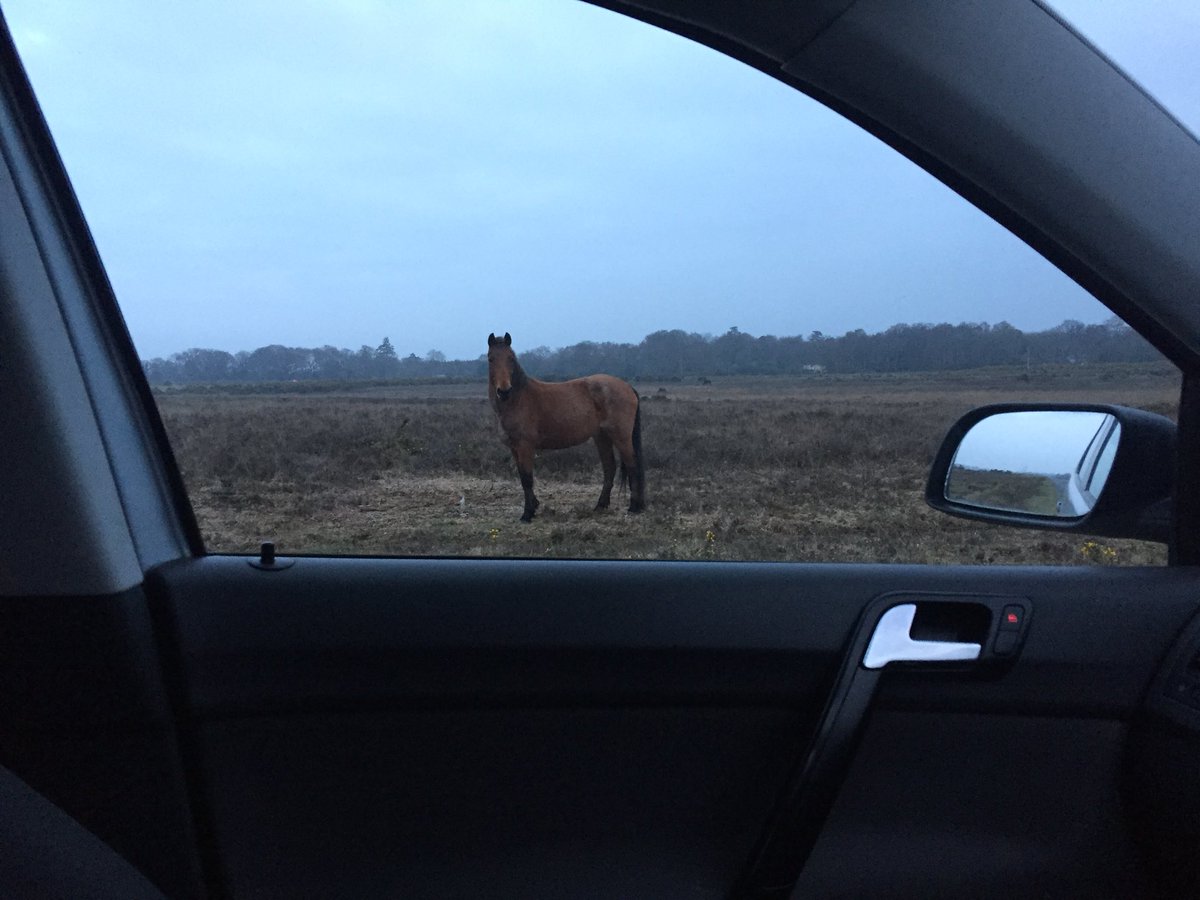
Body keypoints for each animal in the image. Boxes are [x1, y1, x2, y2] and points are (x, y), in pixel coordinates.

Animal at [487, 332, 645, 522]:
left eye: (510, 358)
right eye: (490, 358)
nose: (504, 391)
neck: (517, 399)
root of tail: (627, 386)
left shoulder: (525, 446)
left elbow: (527, 478)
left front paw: (527, 513)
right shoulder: (514, 448)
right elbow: (522, 477)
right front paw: (534, 506)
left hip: (621, 437)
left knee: (632, 465)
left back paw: (634, 506)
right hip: (601, 437)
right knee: (609, 467)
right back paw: (600, 505)